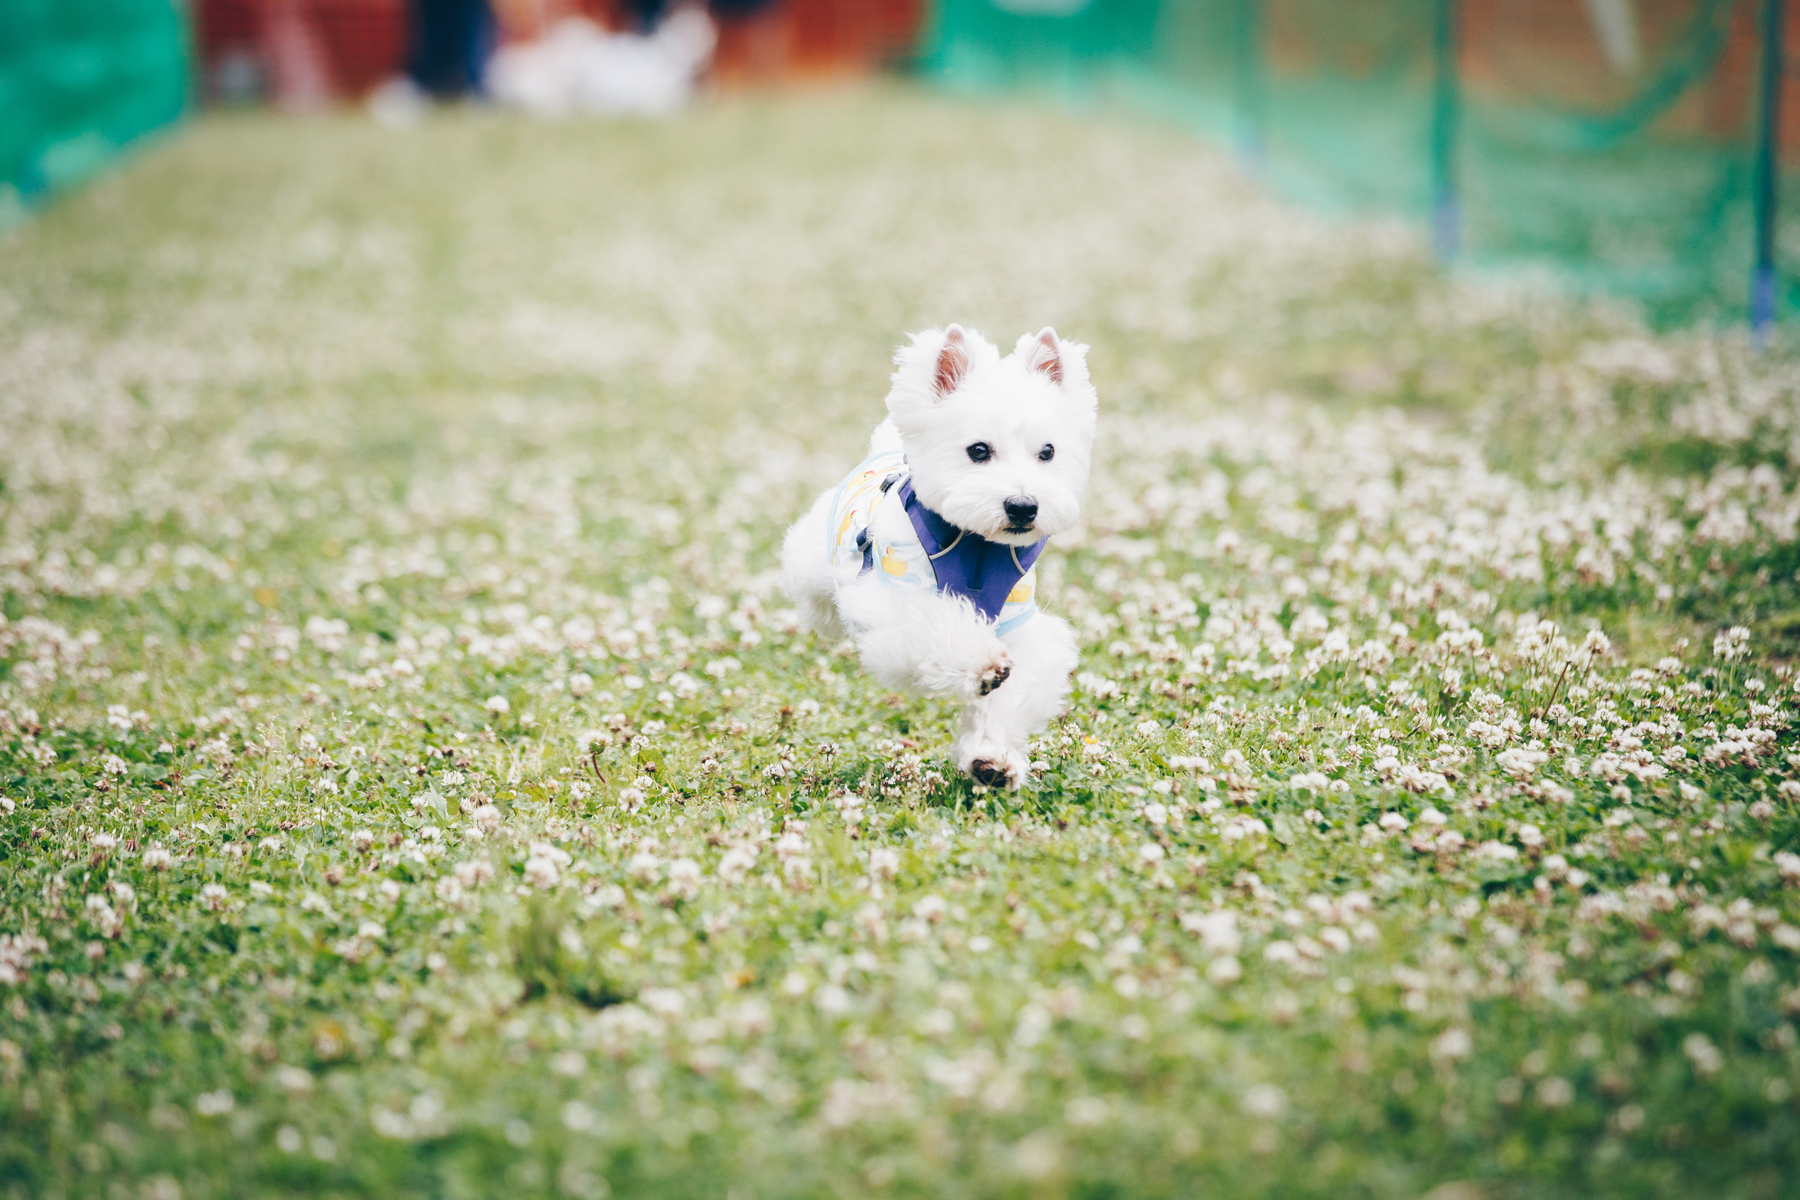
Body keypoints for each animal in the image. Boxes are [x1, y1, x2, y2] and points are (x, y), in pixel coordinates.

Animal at [777, 323, 1094, 788]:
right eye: (978, 450)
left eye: (1048, 452)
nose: (1023, 506)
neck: (977, 546)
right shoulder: (893, 601)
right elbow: (938, 627)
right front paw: (981, 663)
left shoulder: (1023, 624)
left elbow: (1010, 696)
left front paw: (991, 758)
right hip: (813, 565)